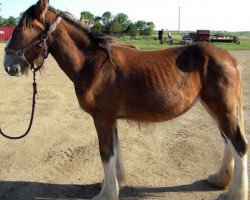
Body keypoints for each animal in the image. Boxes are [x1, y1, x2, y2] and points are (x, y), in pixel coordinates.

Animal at [2, 0, 248, 199]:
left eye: (22, 29)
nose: (8, 66)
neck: (93, 64)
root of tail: (230, 59)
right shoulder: (111, 119)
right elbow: (115, 149)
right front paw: (116, 182)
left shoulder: (102, 118)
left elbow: (106, 153)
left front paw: (107, 194)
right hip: (216, 109)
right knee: (228, 141)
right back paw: (219, 179)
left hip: (223, 109)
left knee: (238, 144)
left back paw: (234, 193)